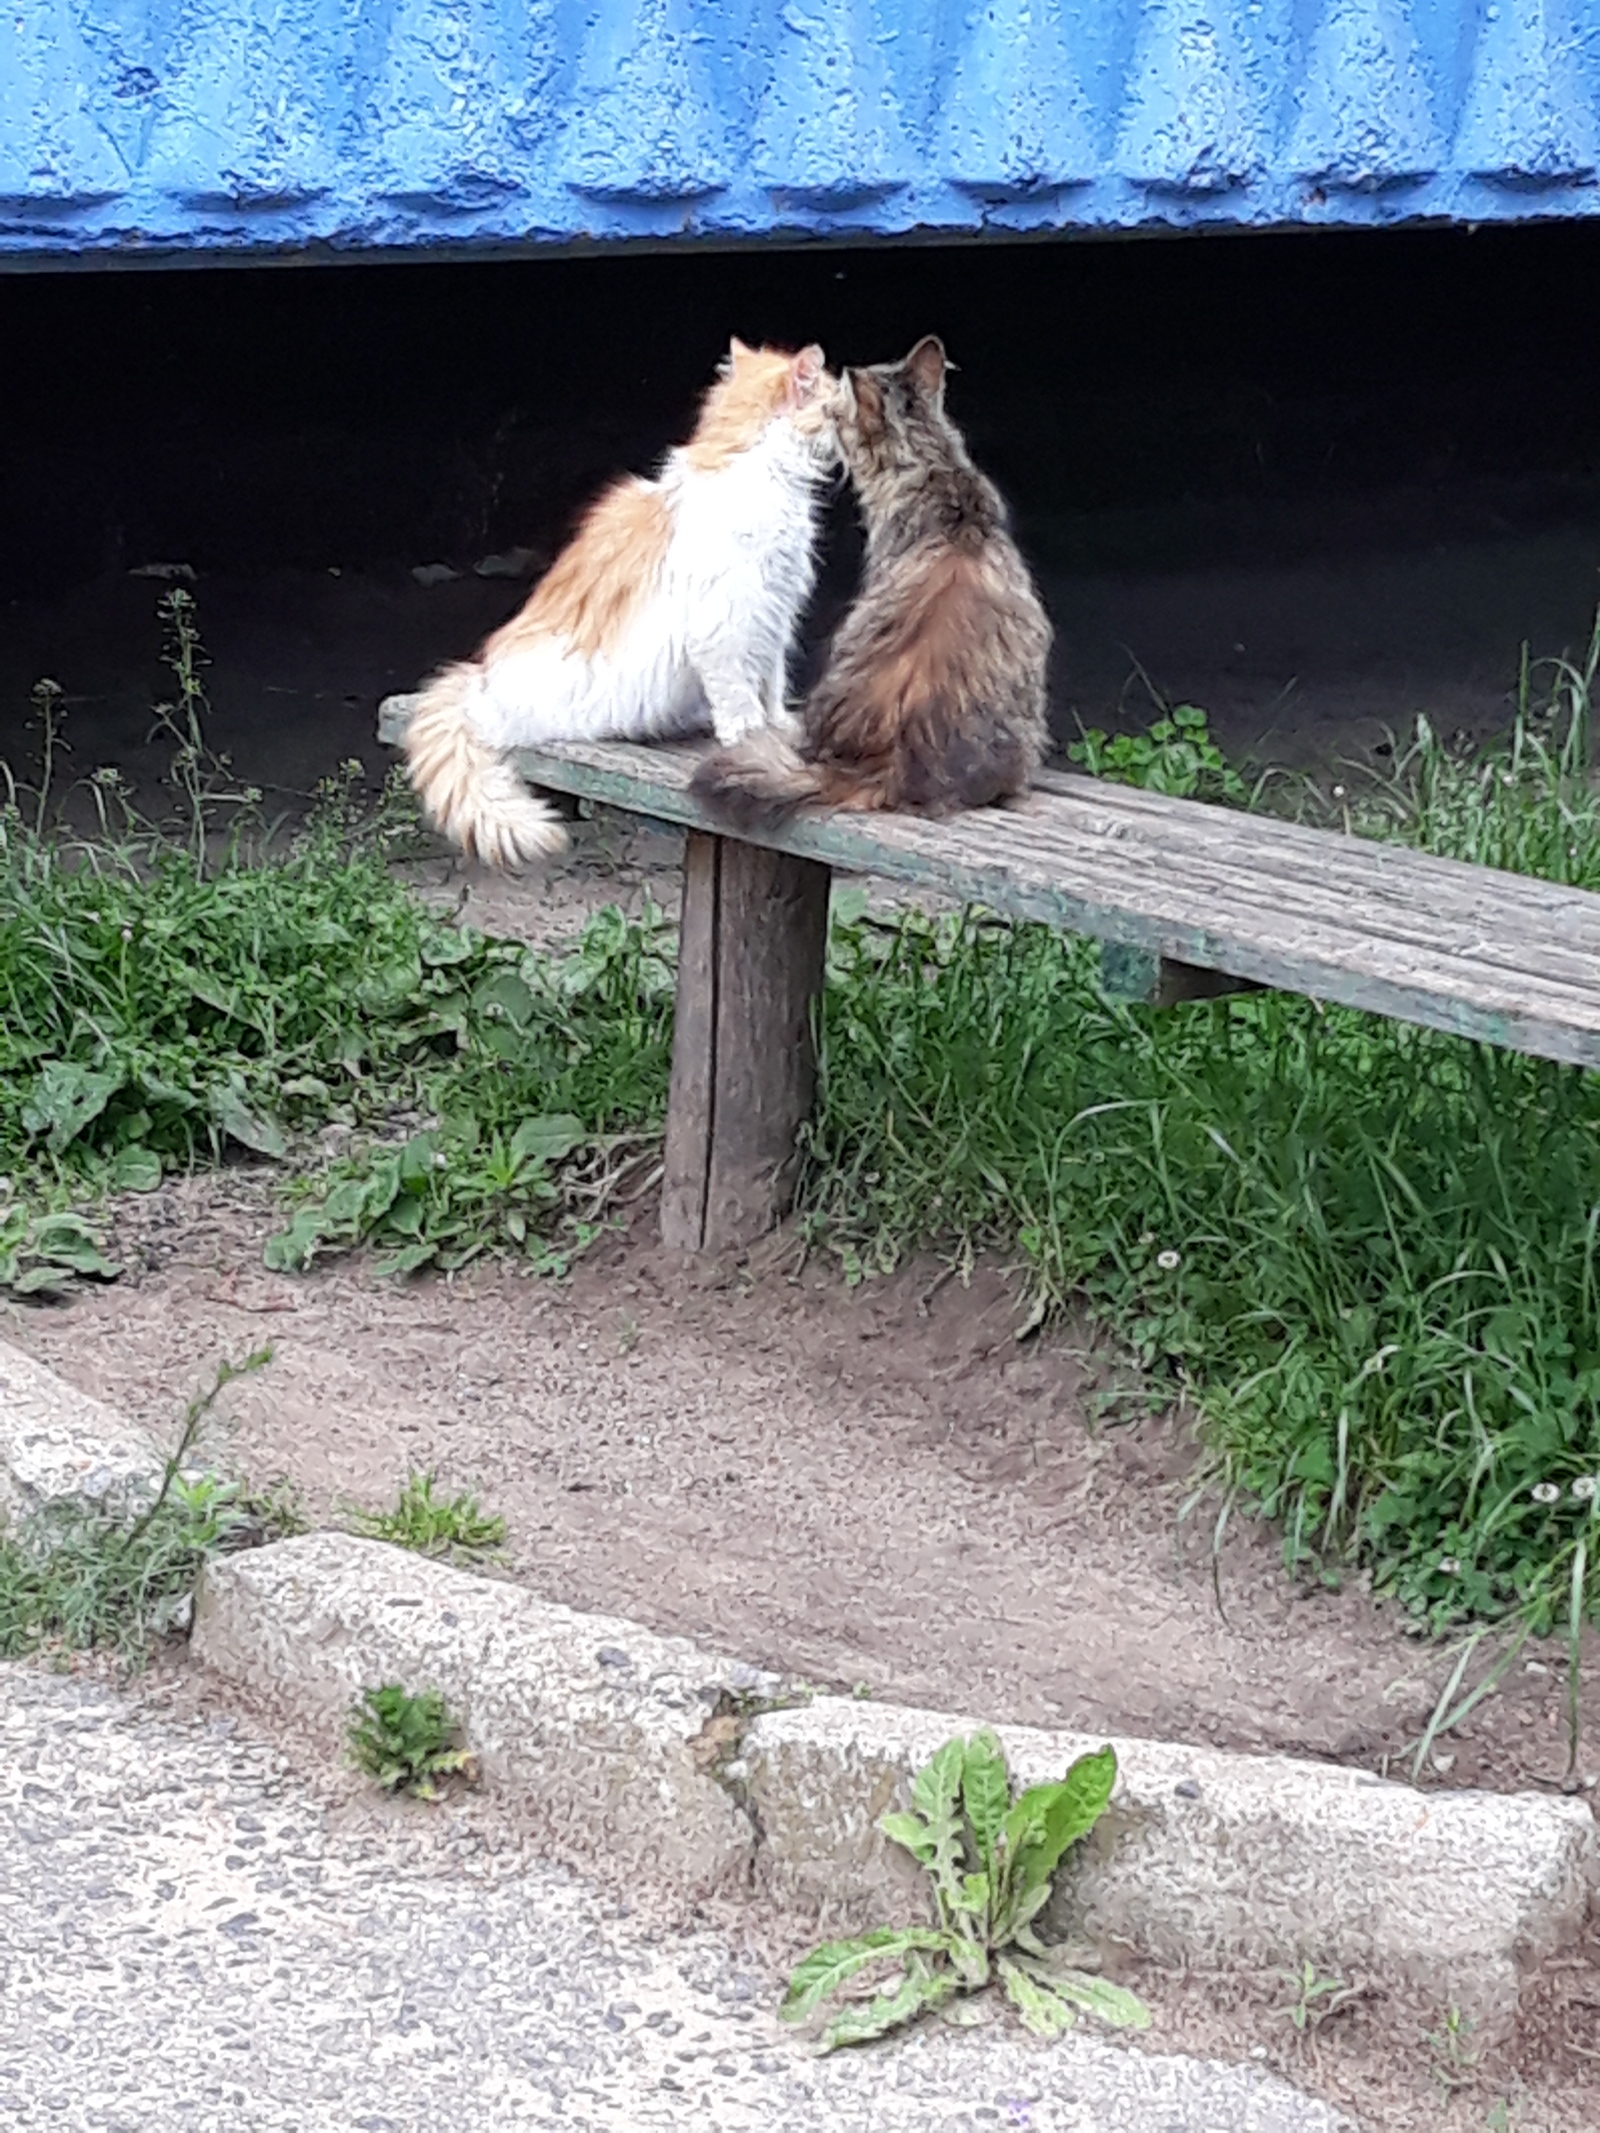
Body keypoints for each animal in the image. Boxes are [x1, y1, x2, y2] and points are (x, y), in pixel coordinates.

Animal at [403, 337, 840, 861]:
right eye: (837, 406)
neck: (757, 467)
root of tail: (478, 680)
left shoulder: (775, 617)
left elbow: (771, 682)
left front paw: (778, 727)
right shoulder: (729, 623)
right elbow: (739, 697)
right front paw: (751, 738)